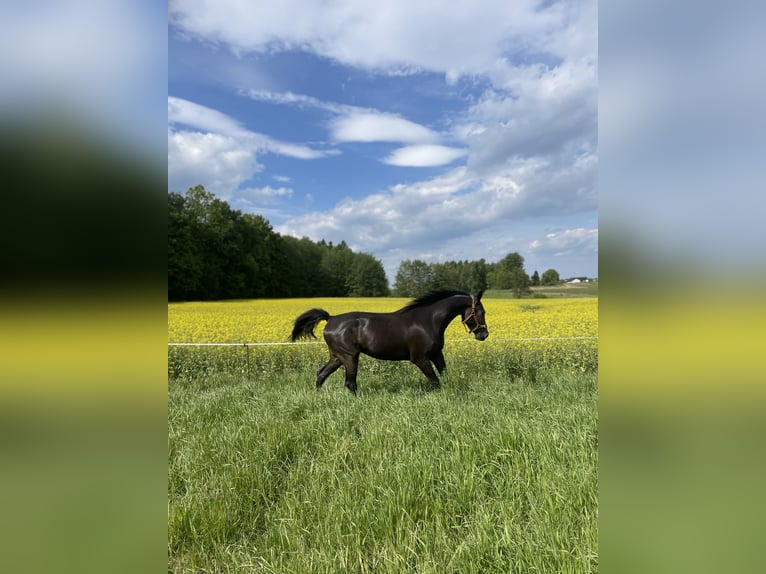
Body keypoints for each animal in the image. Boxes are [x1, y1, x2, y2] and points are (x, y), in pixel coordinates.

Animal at [290, 289, 488, 394]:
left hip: (337, 357)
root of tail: (330, 319)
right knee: (349, 383)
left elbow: (443, 377)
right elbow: (434, 382)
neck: (428, 321)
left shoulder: (436, 354)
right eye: (481, 312)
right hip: (349, 357)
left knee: (321, 374)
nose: (484, 334)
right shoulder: (420, 359)